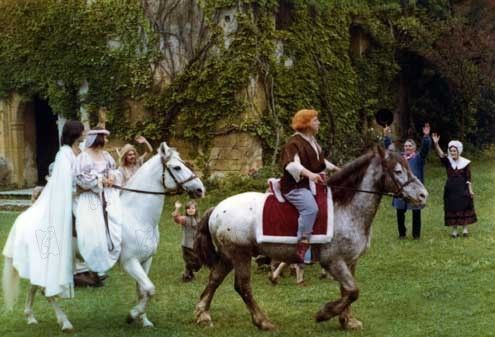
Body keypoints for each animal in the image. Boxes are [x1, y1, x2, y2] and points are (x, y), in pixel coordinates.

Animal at [2, 142, 204, 330]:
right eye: (177, 167)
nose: (200, 189)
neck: (136, 216)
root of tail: (23, 218)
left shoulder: (146, 260)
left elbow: (143, 291)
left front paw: (144, 320)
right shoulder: (130, 262)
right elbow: (150, 289)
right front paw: (132, 315)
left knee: (34, 287)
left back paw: (30, 317)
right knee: (46, 292)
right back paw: (65, 322)